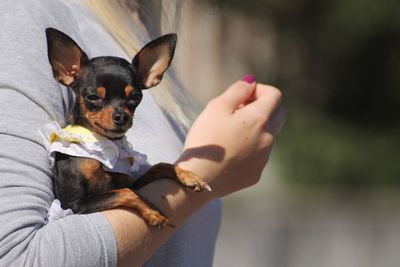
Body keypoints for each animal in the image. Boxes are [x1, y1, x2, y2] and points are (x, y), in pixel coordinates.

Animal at [44, 26, 209, 228]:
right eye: (93, 97)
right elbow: (127, 193)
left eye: (136, 96)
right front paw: (152, 212)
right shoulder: (74, 204)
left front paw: (188, 176)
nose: (122, 116)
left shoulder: (130, 182)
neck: (106, 146)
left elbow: (159, 167)